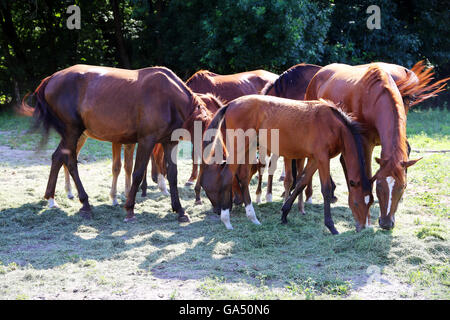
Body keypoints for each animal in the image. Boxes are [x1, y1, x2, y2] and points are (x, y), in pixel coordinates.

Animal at [23, 62, 209, 222]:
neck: (168, 99)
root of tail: (51, 78)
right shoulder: (146, 141)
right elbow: (137, 173)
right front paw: (129, 209)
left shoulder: (169, 142)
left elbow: (172, 175)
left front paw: (180, 210)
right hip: (72, 132)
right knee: (70, 163)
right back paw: (85, 203)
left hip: (72, 135)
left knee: (57, 158)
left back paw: (51, 198)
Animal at [200, 94, 372, 234]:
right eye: (356, 203)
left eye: (370, 202)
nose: (362, 227)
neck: (333, 125)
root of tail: (231, 104)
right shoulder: (323, 158)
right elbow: (326, 190)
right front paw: (331, 226)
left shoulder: (315, 159)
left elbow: (301, 183)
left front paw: (284, 214)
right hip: (240, 148)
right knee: (227, 175)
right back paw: (227, 220)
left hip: (249, 148)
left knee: (242, 177)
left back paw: (253, 218)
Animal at [302, 62, 426, 229]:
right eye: (379, 186)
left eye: (403, 187)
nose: (386, 223)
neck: (375, 97)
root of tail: (319, 72)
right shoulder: (366, 143)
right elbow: (366, 176)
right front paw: (366, 219)